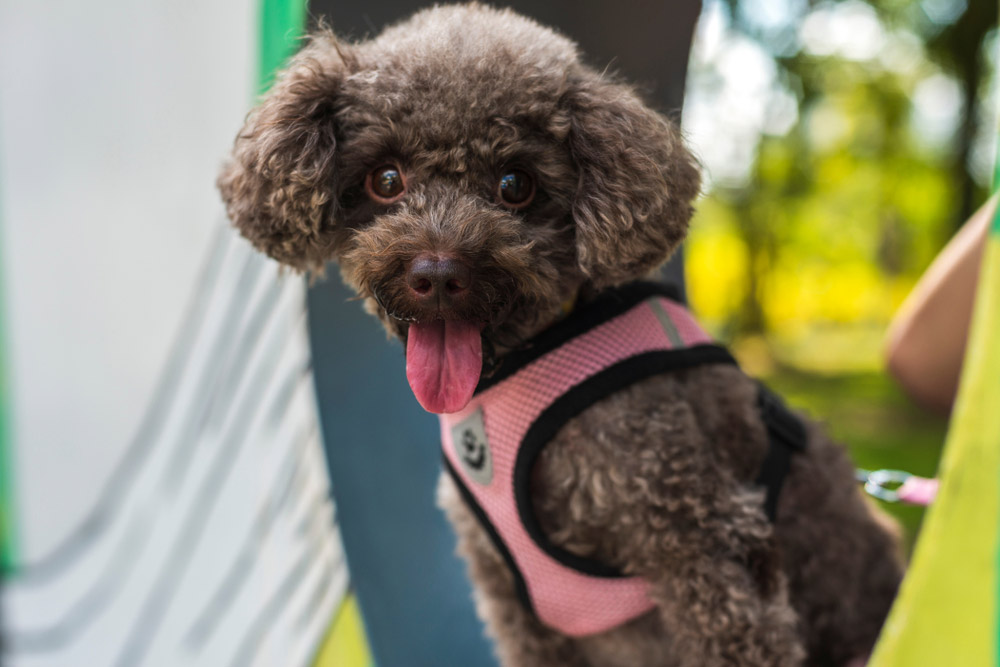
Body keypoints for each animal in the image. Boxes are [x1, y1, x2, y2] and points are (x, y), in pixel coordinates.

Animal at [221, 6, 908, 667]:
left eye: (515, 185)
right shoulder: (511, 599)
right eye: (385, 180)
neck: (518, 366)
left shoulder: (704, 542)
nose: (437, 275)